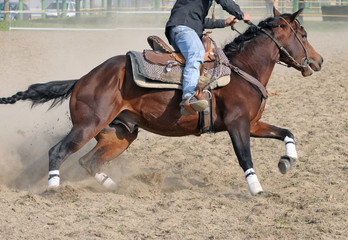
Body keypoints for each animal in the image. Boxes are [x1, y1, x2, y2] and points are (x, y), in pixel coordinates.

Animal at [0, 8, 324, 195]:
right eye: (304, 33)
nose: (318, 61)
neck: (243, 68)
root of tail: (82, 79)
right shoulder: (238, 125)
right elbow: (245, 157)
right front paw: (257, 189)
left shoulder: (254, 124)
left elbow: (287, 132)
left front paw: (287, 161)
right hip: (87, 126)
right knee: (58, 151)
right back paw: (53, 189)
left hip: (119, 134)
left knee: (88, 161)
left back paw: (116, 187)